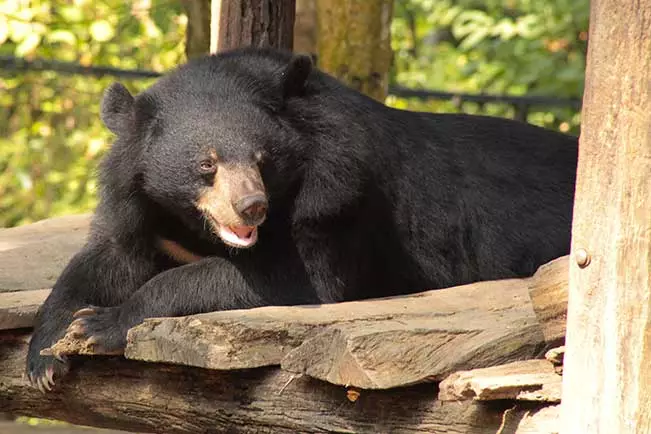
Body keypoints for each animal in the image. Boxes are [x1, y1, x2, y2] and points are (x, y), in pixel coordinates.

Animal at [26, 47, 578, 392]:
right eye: (207, 165)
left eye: (263, 158)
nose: (251, 207)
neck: (193, 224)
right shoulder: (140, 204)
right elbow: (106, 259)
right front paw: (47, 356)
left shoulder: (340, 192)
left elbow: (294, 275)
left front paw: (100, 324)